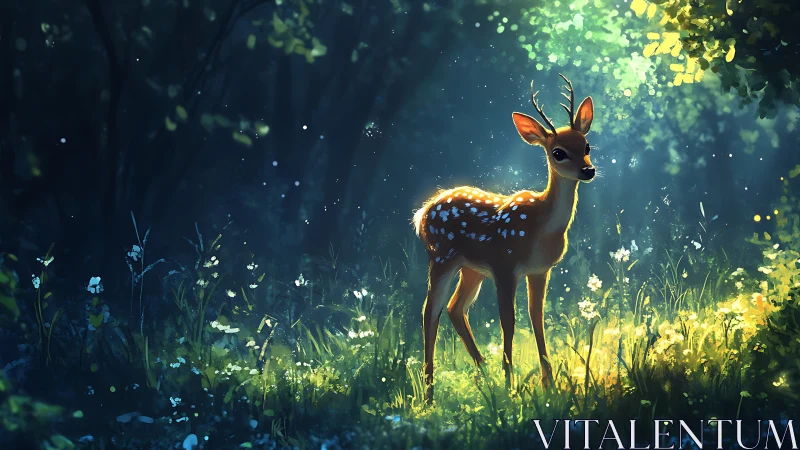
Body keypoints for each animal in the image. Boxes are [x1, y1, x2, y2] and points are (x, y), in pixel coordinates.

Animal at [412, 74, 595, 404]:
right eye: (558, 152)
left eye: (587, 145)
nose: (589, 170)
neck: (542, 227)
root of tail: (421, 213)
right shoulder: (505, 265)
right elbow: (508, 321)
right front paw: (511, 387)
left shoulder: (540, 270)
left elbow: (537, 319)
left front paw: (548, 385)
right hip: (442, 256)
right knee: (429, 312)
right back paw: (430, 395)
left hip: (471, 268)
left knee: (455, 308)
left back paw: (484, 374)